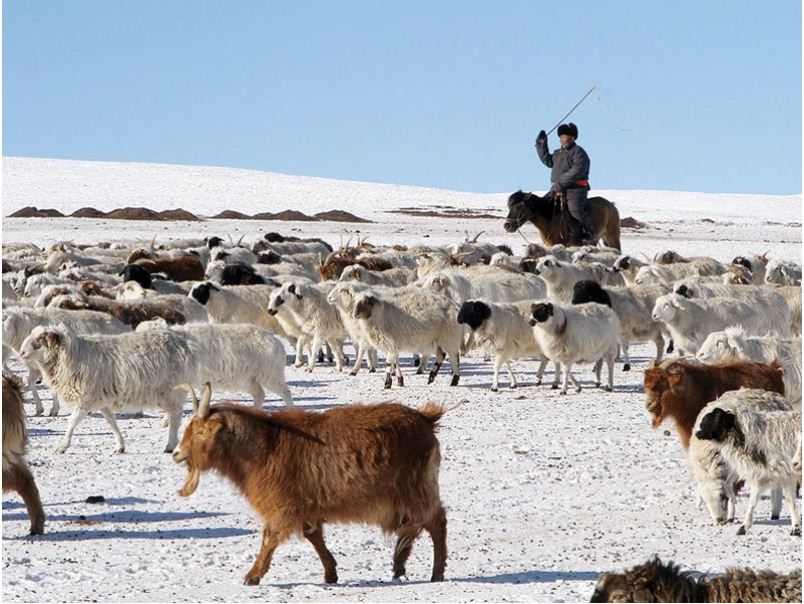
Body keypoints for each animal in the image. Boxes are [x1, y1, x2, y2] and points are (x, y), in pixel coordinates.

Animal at [174, 384, 446, 588]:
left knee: (435, 520)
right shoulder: (307, 505)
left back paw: (436, 572)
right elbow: (313, 536)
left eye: (199, 432)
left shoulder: (283, 504)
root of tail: (425, 419)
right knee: (413, 526)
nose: (176, 453)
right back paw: (399, 564)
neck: (265, 446)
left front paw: (252, 576)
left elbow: (270, 537)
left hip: (415, 488)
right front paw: (330, 573)